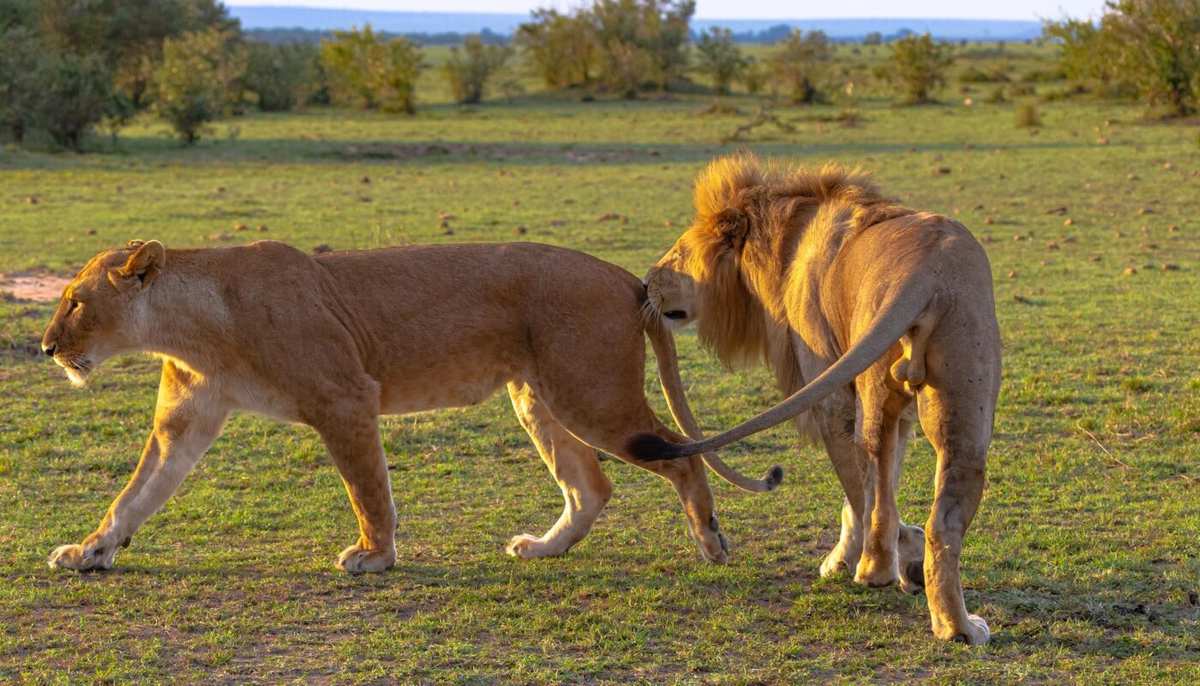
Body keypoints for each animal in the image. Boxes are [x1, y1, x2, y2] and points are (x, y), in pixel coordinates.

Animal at [40, 239, 782, 575]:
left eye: (75, 301)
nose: (46, 346)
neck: (194, 327)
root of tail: (628, 278)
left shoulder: (345, 397)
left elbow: (367, 488)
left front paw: (374, 555)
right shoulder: (184, 421)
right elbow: (136, 494)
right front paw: (91, 550)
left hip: (593, 396)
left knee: (679, 460)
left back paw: (710, 542)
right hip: (538, 397)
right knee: (591, 485)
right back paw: (545, 547)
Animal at [633, 154, 1001, 644]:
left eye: (677, 255)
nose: (644, 284)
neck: (783, 240)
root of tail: (929, 274)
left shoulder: (830, 392)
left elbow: (858, 494)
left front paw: (850, 561)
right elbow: (882, 485)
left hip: (871, 382)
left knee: (874, 489)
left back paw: (876, 570)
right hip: (965, 403)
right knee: (940, 517)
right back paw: (958, 626)